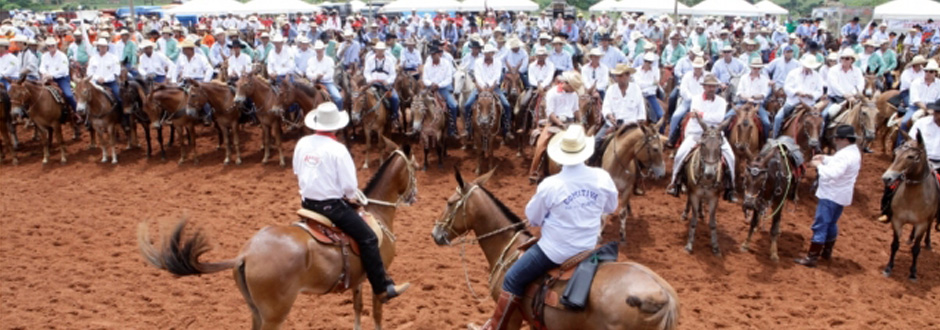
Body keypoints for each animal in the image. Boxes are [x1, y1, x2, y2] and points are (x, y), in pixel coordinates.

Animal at [140, 143, 418, 330]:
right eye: (414, 167)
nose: (415, 196)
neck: (376, 213)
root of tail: (245, 255)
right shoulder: (377, 273)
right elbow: (377, 311)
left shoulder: (359, 279)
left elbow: (358, 309)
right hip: (274, 314)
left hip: (256, 311)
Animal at [680, 114, 732, 256]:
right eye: (703, 144)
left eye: (720, 145)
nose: (709, 173)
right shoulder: (694, 194)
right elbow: (693, 220)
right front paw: (689, 245)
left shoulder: (714, 197)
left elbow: (712, 222)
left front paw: (715, 246)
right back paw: (686, 213)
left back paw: (701, 212)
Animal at [880, 131, 940, 282]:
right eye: (895, 153)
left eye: (911, 156)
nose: (886, 178)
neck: (912, 198)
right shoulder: (897, 220)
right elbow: (895, 244)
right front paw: (888, 268)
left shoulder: (921, 224)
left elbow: (916, 249)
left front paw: (913, 273)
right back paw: (910, 238)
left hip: (929, 219)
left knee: (929, 227)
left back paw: (928, 243)